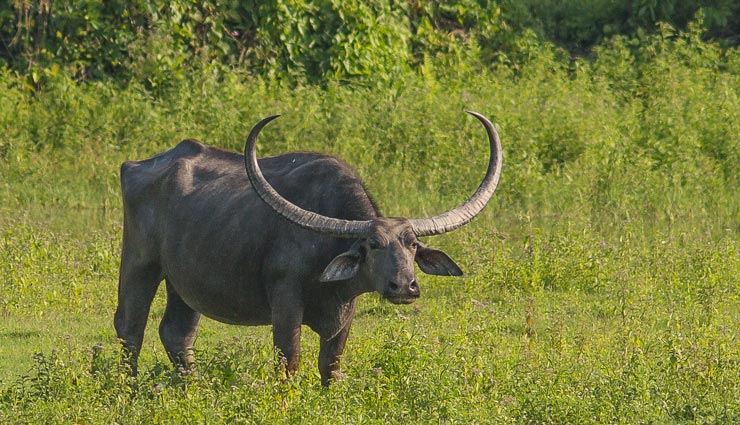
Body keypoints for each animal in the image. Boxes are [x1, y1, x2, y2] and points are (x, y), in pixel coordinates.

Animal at [115, 111, 502, 386]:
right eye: (374, 244)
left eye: (412, 245)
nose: (404, 287)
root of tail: (135, 165)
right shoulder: (285, 302)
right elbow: (290, 361)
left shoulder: (346, 310)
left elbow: (330, 365)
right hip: (140, 263)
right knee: (130, 328)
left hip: (184, 283)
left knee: (177, 333)